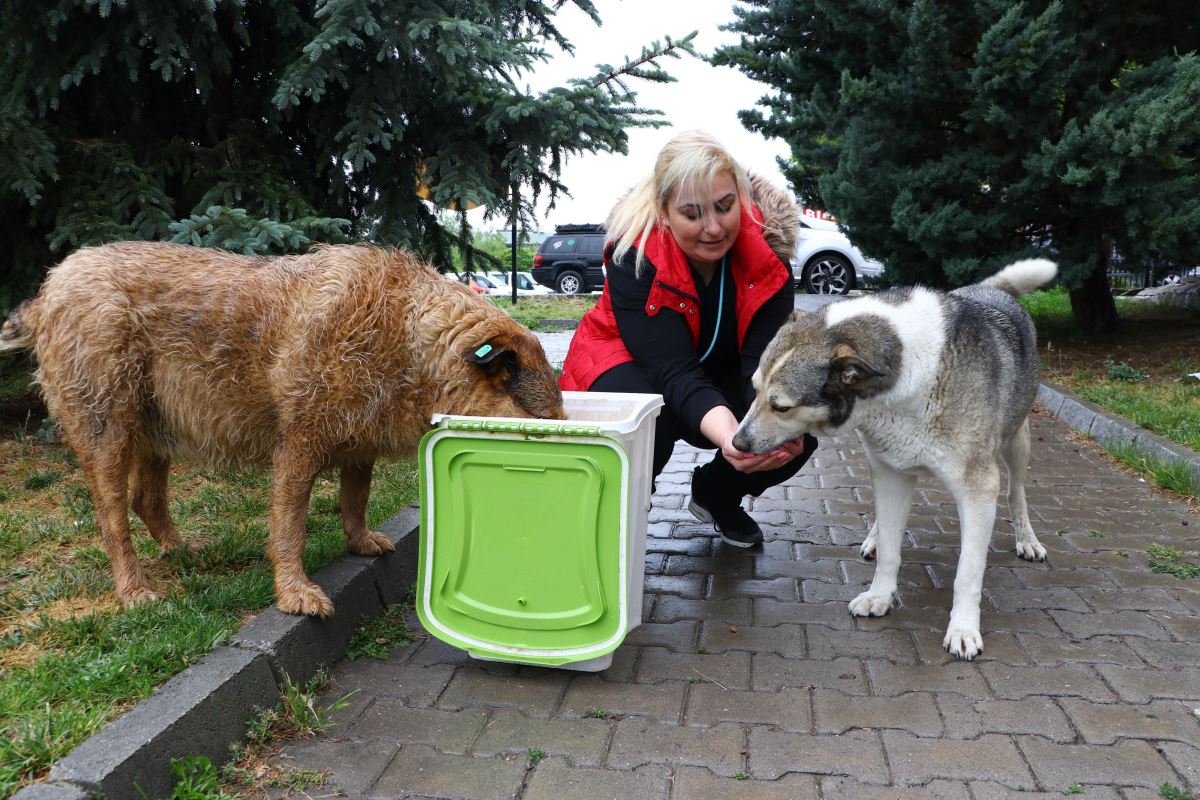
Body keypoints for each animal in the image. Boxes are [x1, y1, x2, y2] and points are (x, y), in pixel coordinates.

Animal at [2, 244, 564, 618]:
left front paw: (359, 540)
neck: (408, 336)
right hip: (108, 427)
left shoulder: (359, 445)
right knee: (113, 517)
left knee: (146, 498)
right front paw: (294, 591)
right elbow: (289, 525)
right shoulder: (298, 445)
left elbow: (355, 498)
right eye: (539, 428)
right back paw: (134, 589)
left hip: (156, 425)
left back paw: (180, 550)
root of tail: (49, 287)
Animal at [729, 260, 1060, 662]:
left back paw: (1027, 538)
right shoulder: (889, 475)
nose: (737, 442)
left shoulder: (978, 490)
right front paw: (880, 596)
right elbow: (890, 548)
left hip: (1017, 444)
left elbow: (967, 574)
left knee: (1017, 494)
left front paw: (964, 629)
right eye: (754, 389)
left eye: (781, 407)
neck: (908, 379)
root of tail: (989, 289)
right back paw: (873, 538)